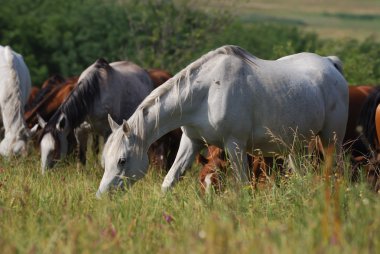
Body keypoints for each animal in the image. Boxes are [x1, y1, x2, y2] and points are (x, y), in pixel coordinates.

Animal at [97, 44, 348, 195]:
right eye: (104, 159)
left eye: (122, 160)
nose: (103, 195)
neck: (207, 93)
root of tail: (330, 64)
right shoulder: (191, 142)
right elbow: (169, 181)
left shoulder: (235, 145)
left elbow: (243, 186)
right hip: (295, 147)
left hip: (331, 139)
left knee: (337, 170)